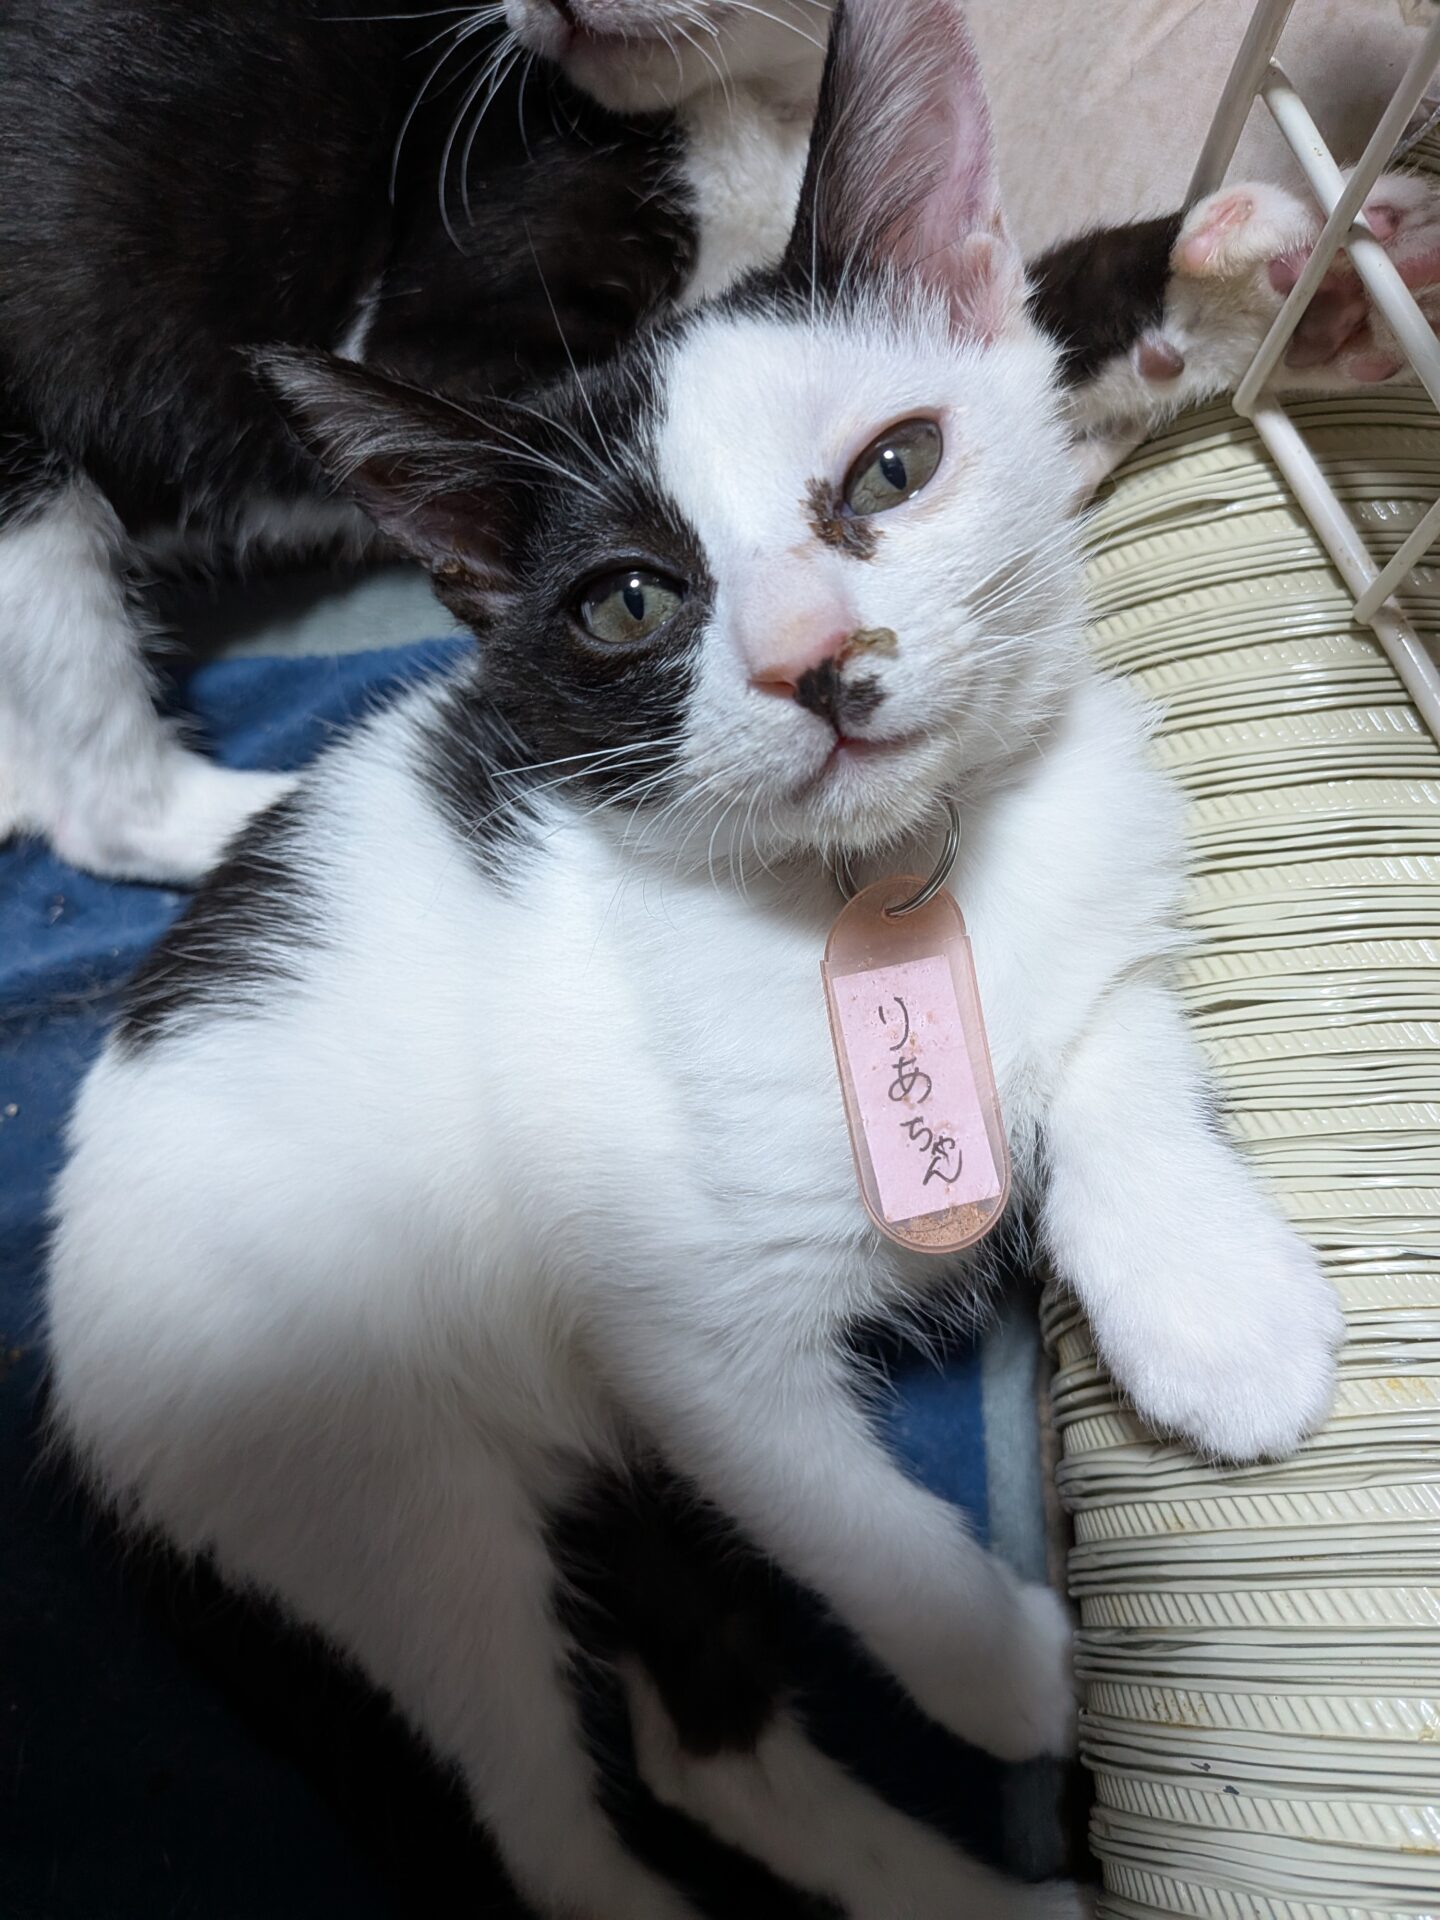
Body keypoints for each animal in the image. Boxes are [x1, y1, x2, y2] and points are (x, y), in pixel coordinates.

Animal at [44, 1, 1346, 1914]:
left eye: (897, 466)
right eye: (628, 602)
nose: (815, 659)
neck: (880, 879)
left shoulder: (1095, 886)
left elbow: (1116, 1043)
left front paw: (1217, 1309)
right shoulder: (664, 1311)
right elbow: (819, 1493)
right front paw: (1004, 1667)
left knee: (700, 1738)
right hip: (372, 1486)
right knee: (541, 1818)